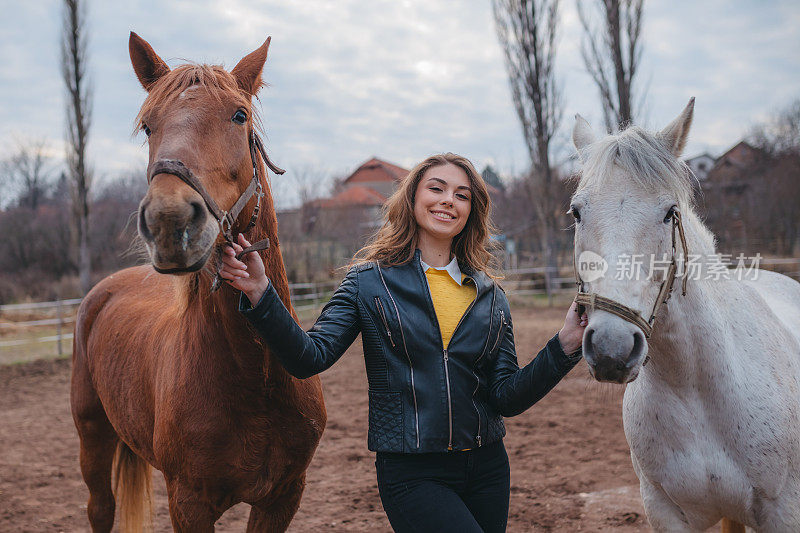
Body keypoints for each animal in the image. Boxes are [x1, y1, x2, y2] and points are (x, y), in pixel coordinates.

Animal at [70, 32, 326, 528]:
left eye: (239, 114)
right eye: (148, 126)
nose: (169, 222)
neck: (254, 375)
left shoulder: (284, 497)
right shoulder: (189, 503)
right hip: (93, 436)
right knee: (100, 509)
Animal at [568, 98, 800, 528]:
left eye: (668, 212)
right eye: (576, 212)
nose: (612, 348)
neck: (694, 389)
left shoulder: (784, 512)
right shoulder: (664, 510)